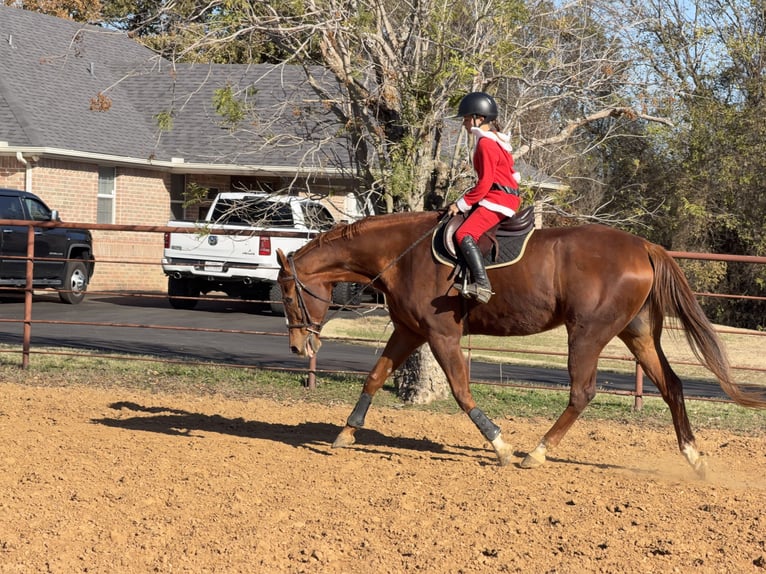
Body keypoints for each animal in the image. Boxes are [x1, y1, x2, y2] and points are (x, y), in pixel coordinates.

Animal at [276, 210, 766, 476]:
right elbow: (375, 377)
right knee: (672, 386)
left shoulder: (441, 335)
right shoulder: (410, 331)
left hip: (587, 334)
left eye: (286, 294)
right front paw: (345, 432)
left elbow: (461, 391)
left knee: (582, 392)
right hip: (638, 334)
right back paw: (694, 457)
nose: (299, 348)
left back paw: (537, 452)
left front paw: (501, 446)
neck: (403, 253)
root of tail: (644, 246)